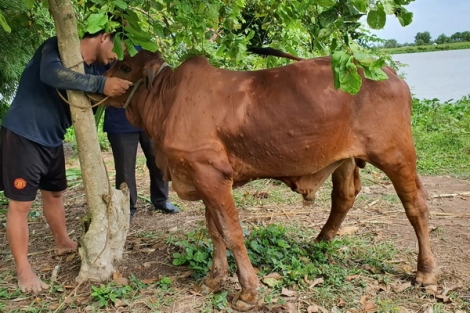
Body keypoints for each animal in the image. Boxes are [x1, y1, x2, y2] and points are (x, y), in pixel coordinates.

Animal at [101, 48, 438, 310]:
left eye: (126, 67)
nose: (103, 82)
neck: (166, 101)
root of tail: (388, 71)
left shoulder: (211, 174)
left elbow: (231, 232)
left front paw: (248, 292)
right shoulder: (202, 175)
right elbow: (214, 231)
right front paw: (213, 279)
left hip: (396, 155)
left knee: (416, 205)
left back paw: (426, 272)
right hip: (344, 159)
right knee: (345, 195)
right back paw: (320, 241)